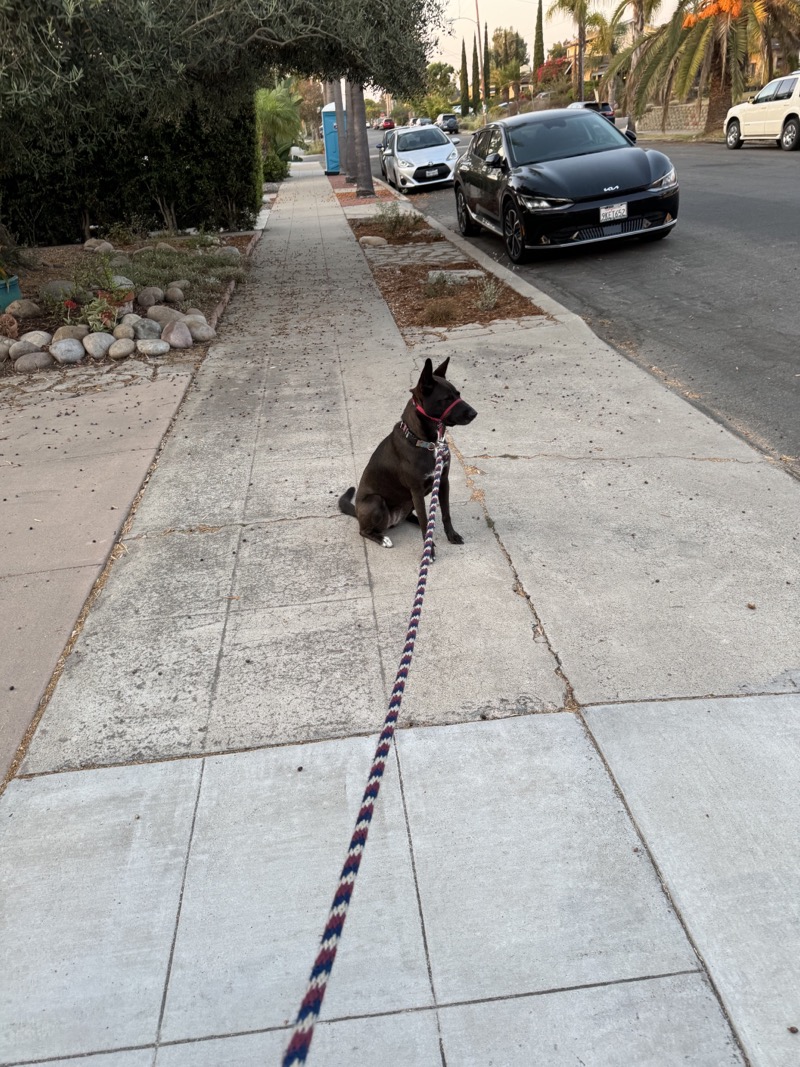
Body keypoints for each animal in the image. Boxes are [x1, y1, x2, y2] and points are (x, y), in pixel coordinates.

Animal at [339, 358, 475, 550]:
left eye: (458, 394)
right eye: (446, 399)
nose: (474, 413)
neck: (427, 443)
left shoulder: (443, 481)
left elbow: (445, 513)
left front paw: (451, 535)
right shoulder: (416, 490)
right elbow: (426, 520)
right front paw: (429, 549)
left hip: (409, 500)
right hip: (375, 502)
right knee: (364, 531)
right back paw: (382, 538)